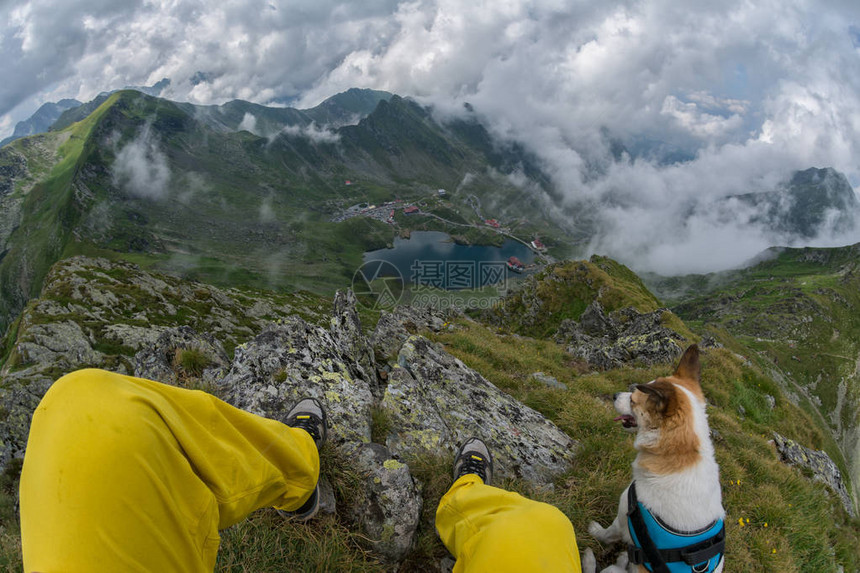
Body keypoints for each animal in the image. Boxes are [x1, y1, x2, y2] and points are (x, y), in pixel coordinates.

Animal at [584, 344, 724, 572]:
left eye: (633, 400)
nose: (614, 394)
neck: (677, 454)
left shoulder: (623, 516)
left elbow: (608, 534)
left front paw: (595, 531)